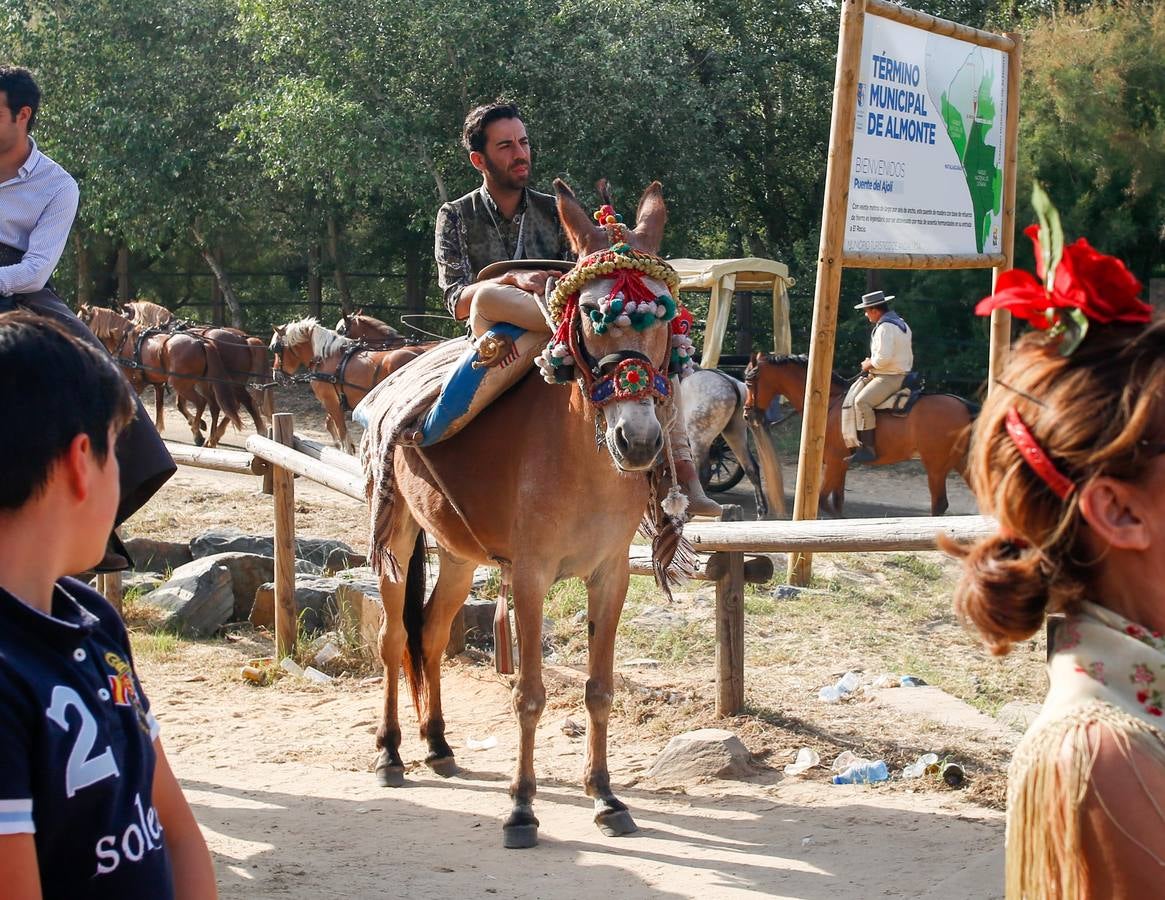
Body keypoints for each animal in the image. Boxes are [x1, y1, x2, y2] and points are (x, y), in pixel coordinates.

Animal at [271, 316, 428, 456]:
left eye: (276, 349)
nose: (276, 375)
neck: (325, 358)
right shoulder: (337, 402)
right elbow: (331, 425)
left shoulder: (330, 402)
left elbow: (343, 435)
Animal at [368, 176, 680, 847]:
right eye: (591, 315)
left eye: (666, 316)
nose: (639, 440)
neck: (581, 459)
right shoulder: (532, 576)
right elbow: (530, 695)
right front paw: (521, 805)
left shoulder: (610, 574)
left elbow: (599, 689)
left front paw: (605, 794)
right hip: (397, 538)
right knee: (393, 637)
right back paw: (391, 751)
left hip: (459, 555)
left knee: (431, 635)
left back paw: (437, 743)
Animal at [685, 367, 787, 516]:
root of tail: (732, 383)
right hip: (735, 434)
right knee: (751, 467)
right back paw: (761, 511)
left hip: (699, 439)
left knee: (703, 473)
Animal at [740, 353, 978, 516]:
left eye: (750, 382)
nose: (746, 414)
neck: (828, 402)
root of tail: (963, 406)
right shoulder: (841, 464)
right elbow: (837, 502)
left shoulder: (835, 461)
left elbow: (824, 501)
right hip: (960, 462)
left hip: (935, 467)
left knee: (939, 505)